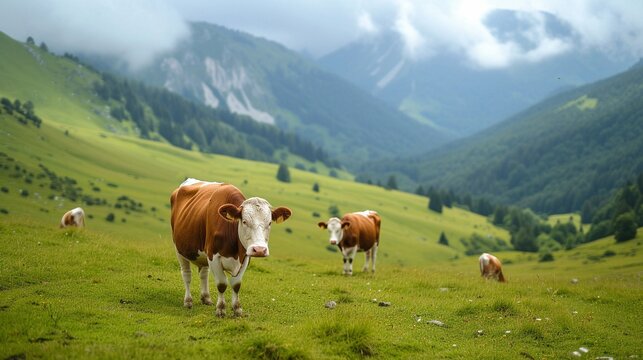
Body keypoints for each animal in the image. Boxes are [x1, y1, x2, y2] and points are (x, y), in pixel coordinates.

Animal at [170, 179, 294, 316]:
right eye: (244, 221)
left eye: (270, 223)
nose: (259, 250)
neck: (235, 252)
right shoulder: (213, 256)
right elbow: (221, 284)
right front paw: (220, 309)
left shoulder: (245, 257)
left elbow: (236, 284)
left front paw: (237, 309)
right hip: (179, 249)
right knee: (187, 275)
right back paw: (188, 301)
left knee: (203, 274)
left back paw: (206, 298)